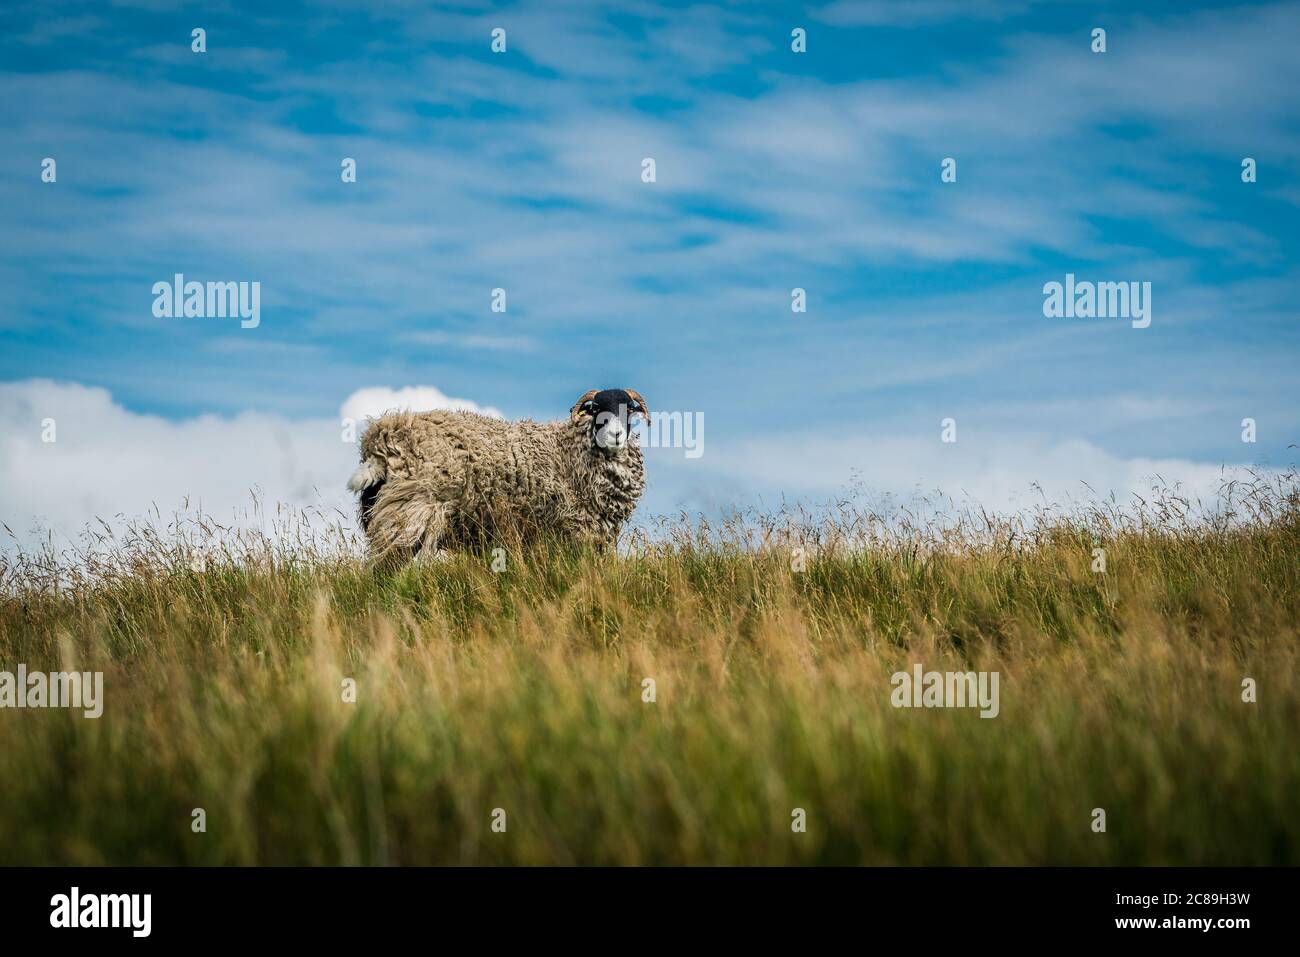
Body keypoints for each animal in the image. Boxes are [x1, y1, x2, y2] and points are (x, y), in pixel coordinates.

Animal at [345, 384, 650, 556]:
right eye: (596, 409)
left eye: (629, 409)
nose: (615, 435)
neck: (571, 448)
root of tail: (380, 439)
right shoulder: (578, 529)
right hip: (410, 511)